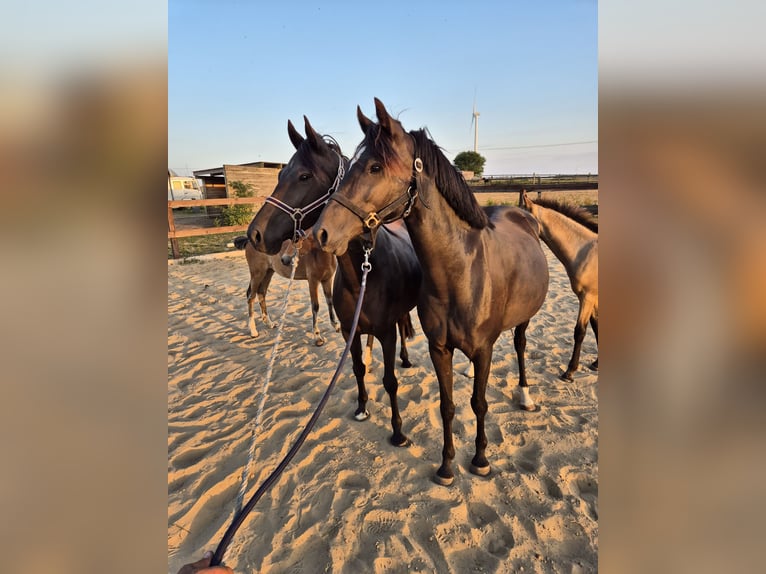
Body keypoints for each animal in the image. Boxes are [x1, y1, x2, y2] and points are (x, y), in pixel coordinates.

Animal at [246, 118, 424, 450]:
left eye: (304, 175)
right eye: (280, 174)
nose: (255, 234)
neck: (362, 276)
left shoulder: (387, 333)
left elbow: (390, 381)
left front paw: (398, 432)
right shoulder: (349, 333)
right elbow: (357, 368)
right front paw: (362, 408)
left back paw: (406, 360)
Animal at [316, 99, 548, 486]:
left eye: (375, 166)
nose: (321, 232)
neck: (462, 274)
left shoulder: (484, 349)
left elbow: (479, 404)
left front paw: (480, 459)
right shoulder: (440, 349)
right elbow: (448, 405)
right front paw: (447, 465)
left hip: (523, 320)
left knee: (519, 346)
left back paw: (525, 394)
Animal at [520, 189, 600, 384]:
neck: (584, 252)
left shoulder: (587, 297)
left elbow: (580, 331)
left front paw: (569, 372)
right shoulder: (592, 298)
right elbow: (596, 327)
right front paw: (596, 363)